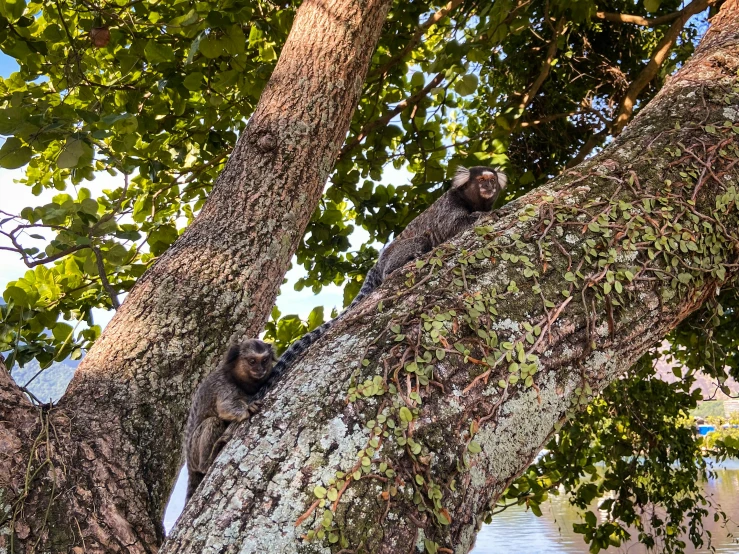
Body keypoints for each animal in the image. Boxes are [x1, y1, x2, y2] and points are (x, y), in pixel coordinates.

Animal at [184, 336, 276, 500]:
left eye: (265, 360)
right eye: (252, 361)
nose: (260, 369)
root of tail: (189, 464)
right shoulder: (224, 385)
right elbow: (226, 407)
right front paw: (247, 409)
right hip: (194, 450)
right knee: (213, 421)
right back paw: (207, 462)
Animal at [260, 164, 508, 392]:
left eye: (492, 180)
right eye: (482, 180)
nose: (489, 186)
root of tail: (378, 263)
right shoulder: (449, 206)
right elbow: (453, 226)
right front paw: (485, 215)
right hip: (396, 252)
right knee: (420, 239)